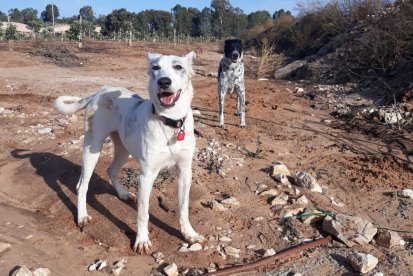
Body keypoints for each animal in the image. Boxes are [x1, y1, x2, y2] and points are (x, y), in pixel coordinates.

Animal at [54, 50, 204, 253]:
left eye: (178, 67)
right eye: (155, 68)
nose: (164, 82)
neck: (170, 122)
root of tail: (99, 92)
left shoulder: (185, 171)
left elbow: (183, 209)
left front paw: (189, 234)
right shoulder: (146, 175)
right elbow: (143, 212)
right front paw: (142, 240)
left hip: (123, 149)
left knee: (111, 170)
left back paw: (122, 194)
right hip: (92, 148)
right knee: (82, 185)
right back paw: (82, 216)